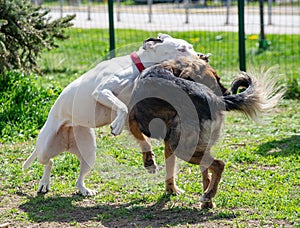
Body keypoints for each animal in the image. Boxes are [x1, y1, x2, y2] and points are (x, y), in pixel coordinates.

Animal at [23, 33, 199, 196]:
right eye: (181, 49)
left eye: (191, 47)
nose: (201, 56)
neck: (136, 66)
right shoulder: (102, 91)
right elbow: (122, 107)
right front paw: (116, 126)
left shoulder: (131, 115)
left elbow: (142, 137)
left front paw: (149, 161)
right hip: (44, 149)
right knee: (49, 162)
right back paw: (44, 182)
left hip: (89, 154)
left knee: (76, 175)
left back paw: (84, 189)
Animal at [129, 56, 284, 208]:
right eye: (216, 80)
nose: (228, 92)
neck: (170, 66)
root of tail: (216, 100)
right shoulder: (169, 141)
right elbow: (170, 168)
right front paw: (171, 189)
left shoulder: (132, 119)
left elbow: (144, 141)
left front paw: (149, 163)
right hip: (195, 144)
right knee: (207, 170)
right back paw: (208, 199)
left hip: (183, 148)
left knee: (219, 164)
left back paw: (208, 195)